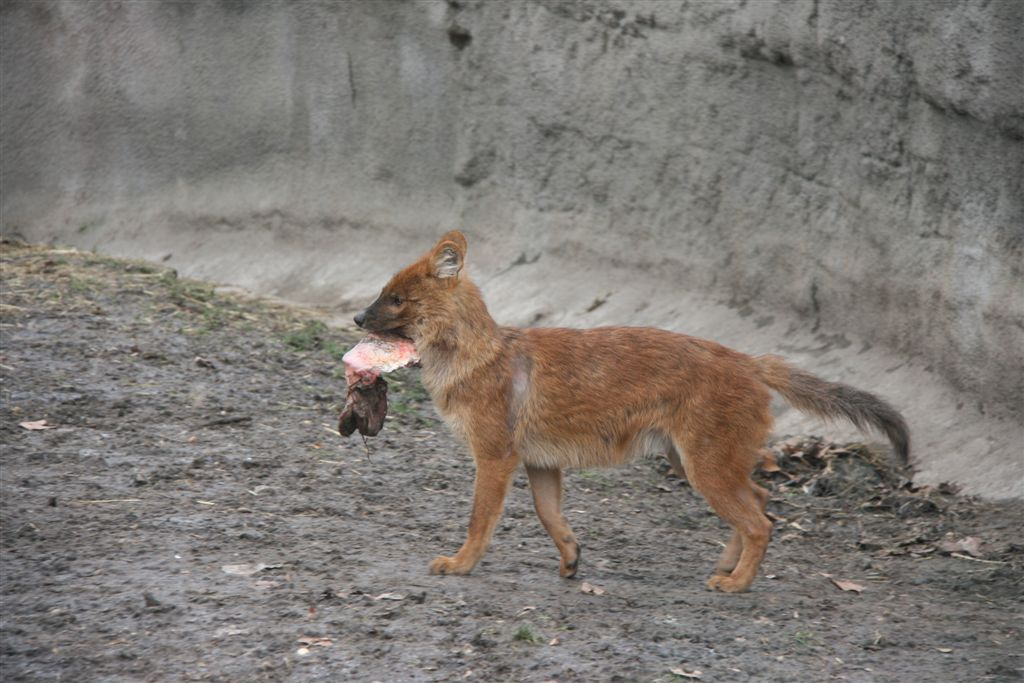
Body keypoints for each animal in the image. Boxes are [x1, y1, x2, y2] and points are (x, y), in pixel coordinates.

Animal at [356, 231, 909, 593]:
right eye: (382, 292)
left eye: (397, 299)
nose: (358, 317)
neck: (478, 356)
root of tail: (750, 359)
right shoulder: (541, 464)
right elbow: (550, 516)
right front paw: (571, 560)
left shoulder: (495, 458)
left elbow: (479, 520)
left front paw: (460, 565)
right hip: (693, 464)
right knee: (759, 498)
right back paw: (725, 569)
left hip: (705, 467)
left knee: (760, 522)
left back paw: (736, 584)